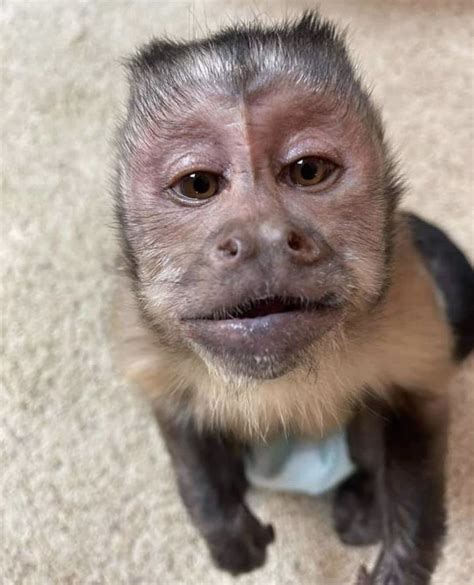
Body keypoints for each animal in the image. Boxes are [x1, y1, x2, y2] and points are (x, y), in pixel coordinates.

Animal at [113, 12, 474, 584]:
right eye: (197, 184)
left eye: (308, 171)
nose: (262, 237)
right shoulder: (140, 321)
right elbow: (177, 414)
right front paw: (224, 526)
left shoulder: (406, 295)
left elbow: (415, 404)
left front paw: (400, 561)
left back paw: (365, 499)